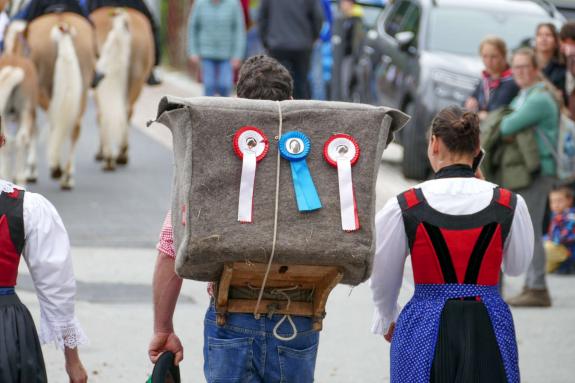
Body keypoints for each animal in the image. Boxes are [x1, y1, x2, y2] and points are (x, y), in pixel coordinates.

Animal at [24, 12, 97, 190]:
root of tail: (63, 27)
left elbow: (34, 128)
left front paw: (32, 170)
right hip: (82, 90)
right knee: (74, 127)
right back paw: (67, 176)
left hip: (40, 90)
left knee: (53, 122)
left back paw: (56, 168)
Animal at [91, 6, 153, 170]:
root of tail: (120, 17)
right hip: (137, 80)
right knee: (127, 111)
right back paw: (121, 154)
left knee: (105, 113)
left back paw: (109, 156)